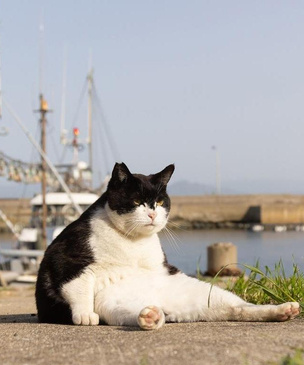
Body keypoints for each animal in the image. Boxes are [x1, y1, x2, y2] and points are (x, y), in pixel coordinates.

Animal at [35, 164, 300, 328]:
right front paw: (83, 315)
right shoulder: (67, 260)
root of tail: (166, 305)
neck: (132, 242)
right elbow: (78, 288)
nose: (152, 214)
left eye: (161, 202)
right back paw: (151, 317)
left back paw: (283, 310)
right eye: (137, 201)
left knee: (239, 308)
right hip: (111, 304)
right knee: (138, 314)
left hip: (205, 293)